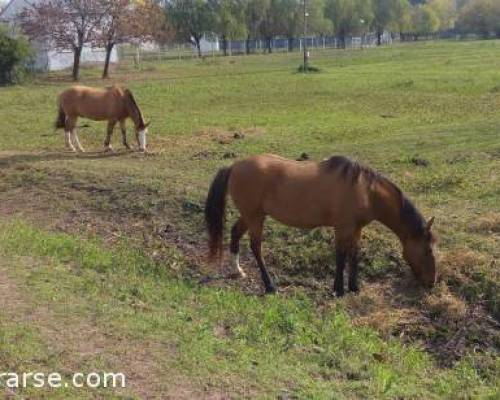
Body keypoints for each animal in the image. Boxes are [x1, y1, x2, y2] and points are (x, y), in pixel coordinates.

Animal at [204, 155, 438, 296]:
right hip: (255, 217)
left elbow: (354, 254)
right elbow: (341, 256)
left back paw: (238, 270)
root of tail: (234, 166)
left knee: (235, 233)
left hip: (252, 215)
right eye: (427, 250)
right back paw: (270, 285)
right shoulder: (342, 228)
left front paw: (354, 287)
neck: (365, 191)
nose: (431, 283)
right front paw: (338, 290)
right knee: (256, 247)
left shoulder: (356, 229)